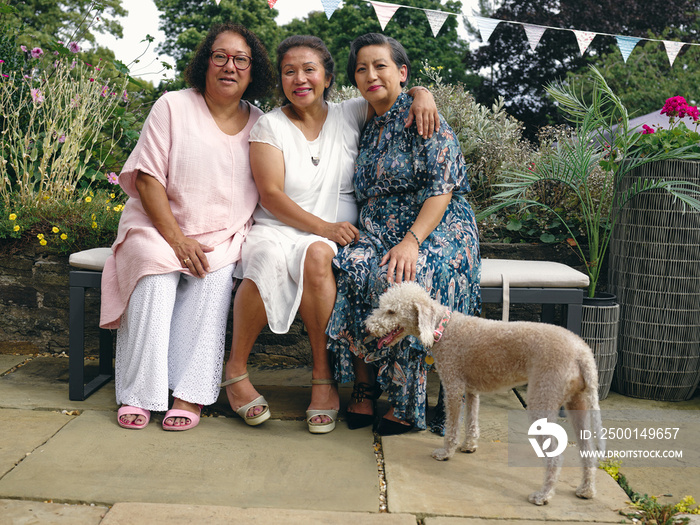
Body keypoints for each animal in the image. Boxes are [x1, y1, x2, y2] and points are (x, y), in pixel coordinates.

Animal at [364, 280, 604, 506]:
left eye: (391, 311)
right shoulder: (471, 390)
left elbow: (452, 426)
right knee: (588, 450)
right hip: (578, 402)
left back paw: (543, 495)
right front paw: (469, 446)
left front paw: (446, 453)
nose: (367, 327)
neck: (443, 327)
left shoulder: (453, 386)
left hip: (543, 397)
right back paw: (587, 490)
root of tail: (582, 352)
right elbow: (471, 420)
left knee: (556, 456)